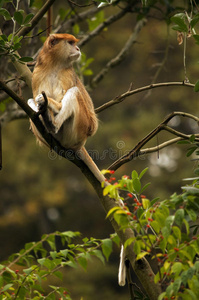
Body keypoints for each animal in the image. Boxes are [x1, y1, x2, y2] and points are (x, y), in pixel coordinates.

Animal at [27, 32, 126, 286]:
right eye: (70, 43)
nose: (78, 48)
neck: (54, 65)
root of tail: (78, 144)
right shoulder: (36, 75)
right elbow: (32, 99)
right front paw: (40, 105)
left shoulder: (68, 75)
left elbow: (69, 93)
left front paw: (49, 105)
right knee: (32, 106)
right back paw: (45, 122)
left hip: (82, 126)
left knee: (73, 94)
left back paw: (52, 121)